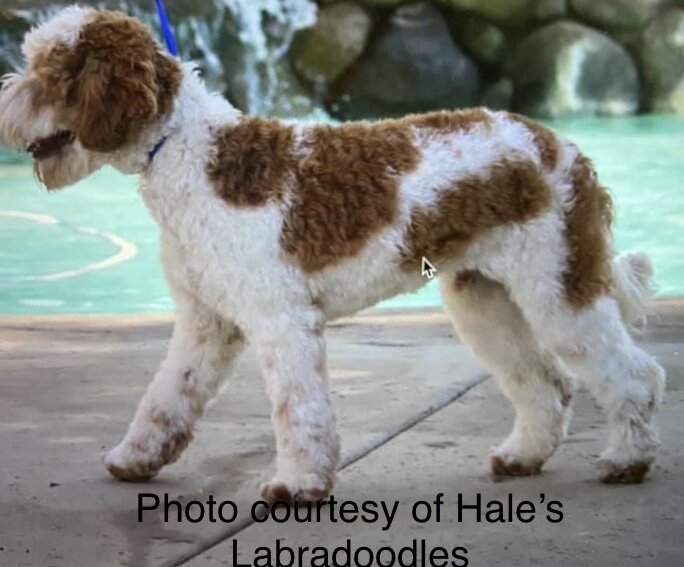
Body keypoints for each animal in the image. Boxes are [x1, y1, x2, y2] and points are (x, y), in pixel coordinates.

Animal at [0, 4, 664, 502]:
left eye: (50, 74)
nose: (5, 108)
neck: (190, 153)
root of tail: (563, 147)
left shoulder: (280, 320)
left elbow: (299, 411)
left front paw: (296, 486)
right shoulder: (205, 321)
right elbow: (165, 398)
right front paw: (134, 458)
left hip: (557, 286)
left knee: (634, 375)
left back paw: (627, 460)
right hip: (485, 298)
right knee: (544, 383)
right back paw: (524, 457)